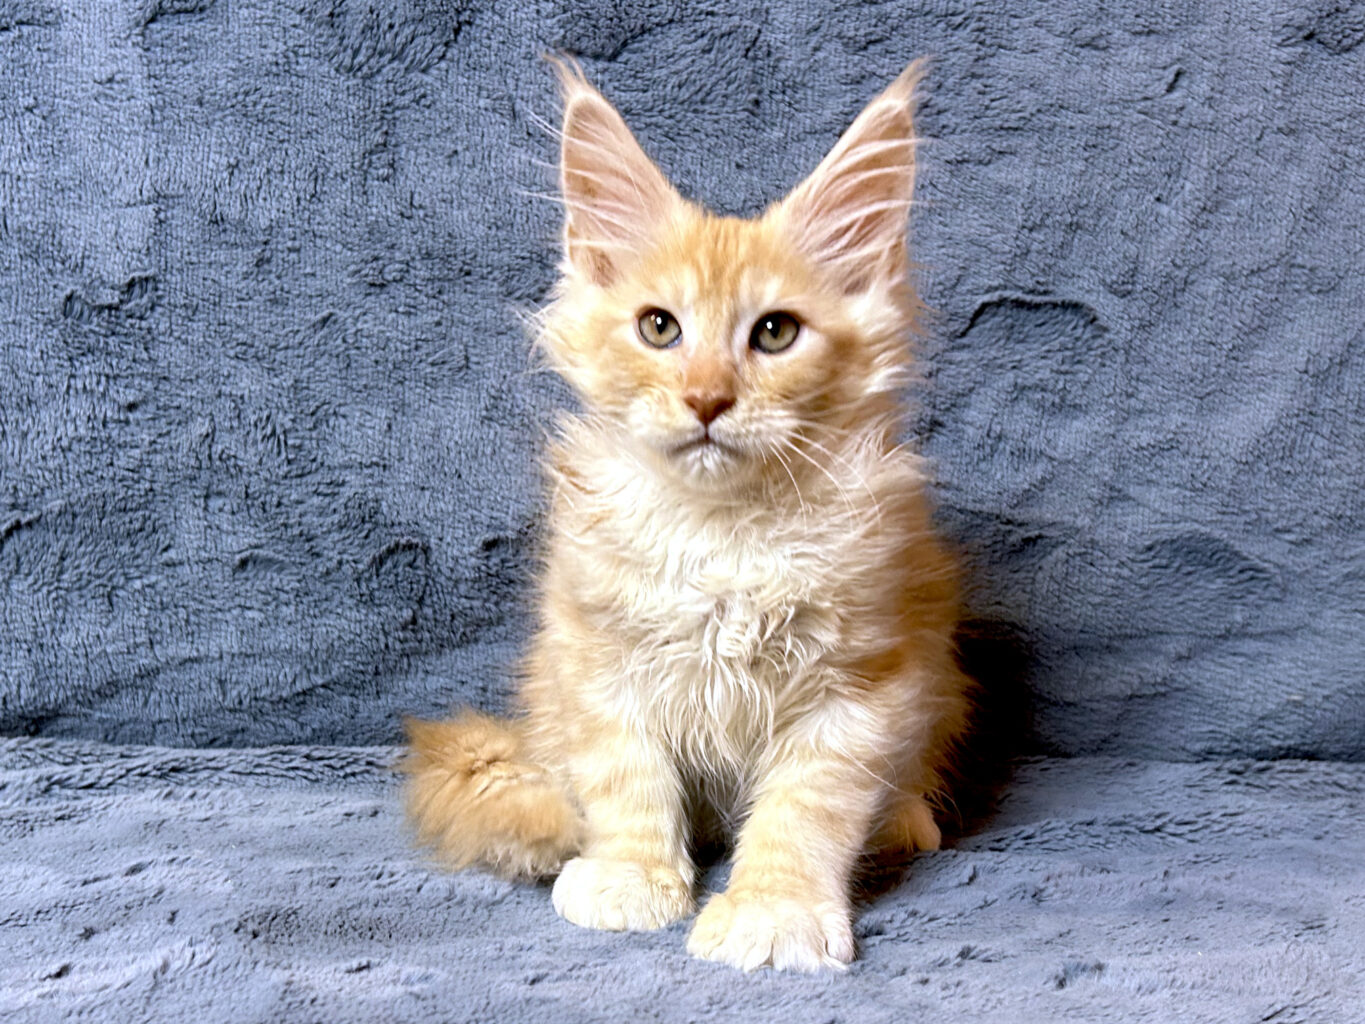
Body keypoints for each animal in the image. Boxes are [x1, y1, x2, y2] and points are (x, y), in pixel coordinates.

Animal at [403, 57, 972, 973]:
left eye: (774, 333)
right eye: (658, 327)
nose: (706, 399)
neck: (722, 531)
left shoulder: (861, 685)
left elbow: (804, 812)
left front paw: (773, 910)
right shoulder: (600, 663)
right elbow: (625, 783)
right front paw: (631, 879)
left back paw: (905, 822)